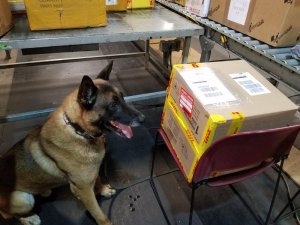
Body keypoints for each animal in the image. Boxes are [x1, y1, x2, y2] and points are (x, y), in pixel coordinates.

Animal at [0, 61, 145, 225]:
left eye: (123, 98)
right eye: (113, 105)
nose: (143, 119)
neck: (79, 131)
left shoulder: (91, 175)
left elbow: (97, 179)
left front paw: (102, 189)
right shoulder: (83, 190)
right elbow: (97, 212)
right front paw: (105, 221)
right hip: (23, 199)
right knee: (7, 214)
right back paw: (29, 218)